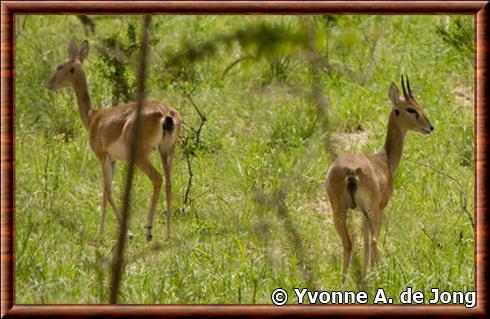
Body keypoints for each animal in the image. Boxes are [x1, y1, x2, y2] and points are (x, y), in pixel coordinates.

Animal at [47, 39, 181, 242]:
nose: (49, 84)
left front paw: (113, 232)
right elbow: (106, 192)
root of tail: (166, 113)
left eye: (60, 66)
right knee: (169, 183)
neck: (93, 117)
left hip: (141, 156)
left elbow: (107, 191)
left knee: (157, 179)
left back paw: (148, 230)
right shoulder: (114, 160)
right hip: (167, 152)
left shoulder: (102, 156)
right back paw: (168, 234)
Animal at [326, 76, 432, 284]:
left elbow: (364, 240)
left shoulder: (361, 213)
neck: (384, 160)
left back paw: (343, 283)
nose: (430, 127)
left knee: (348, 244)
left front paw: (364, 274)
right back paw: (381, 276)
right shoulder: (378, 209)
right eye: (411, 109)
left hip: (339, 211)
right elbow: (370, 241)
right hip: (372, 211)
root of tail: (351, 172)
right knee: (374, 241)